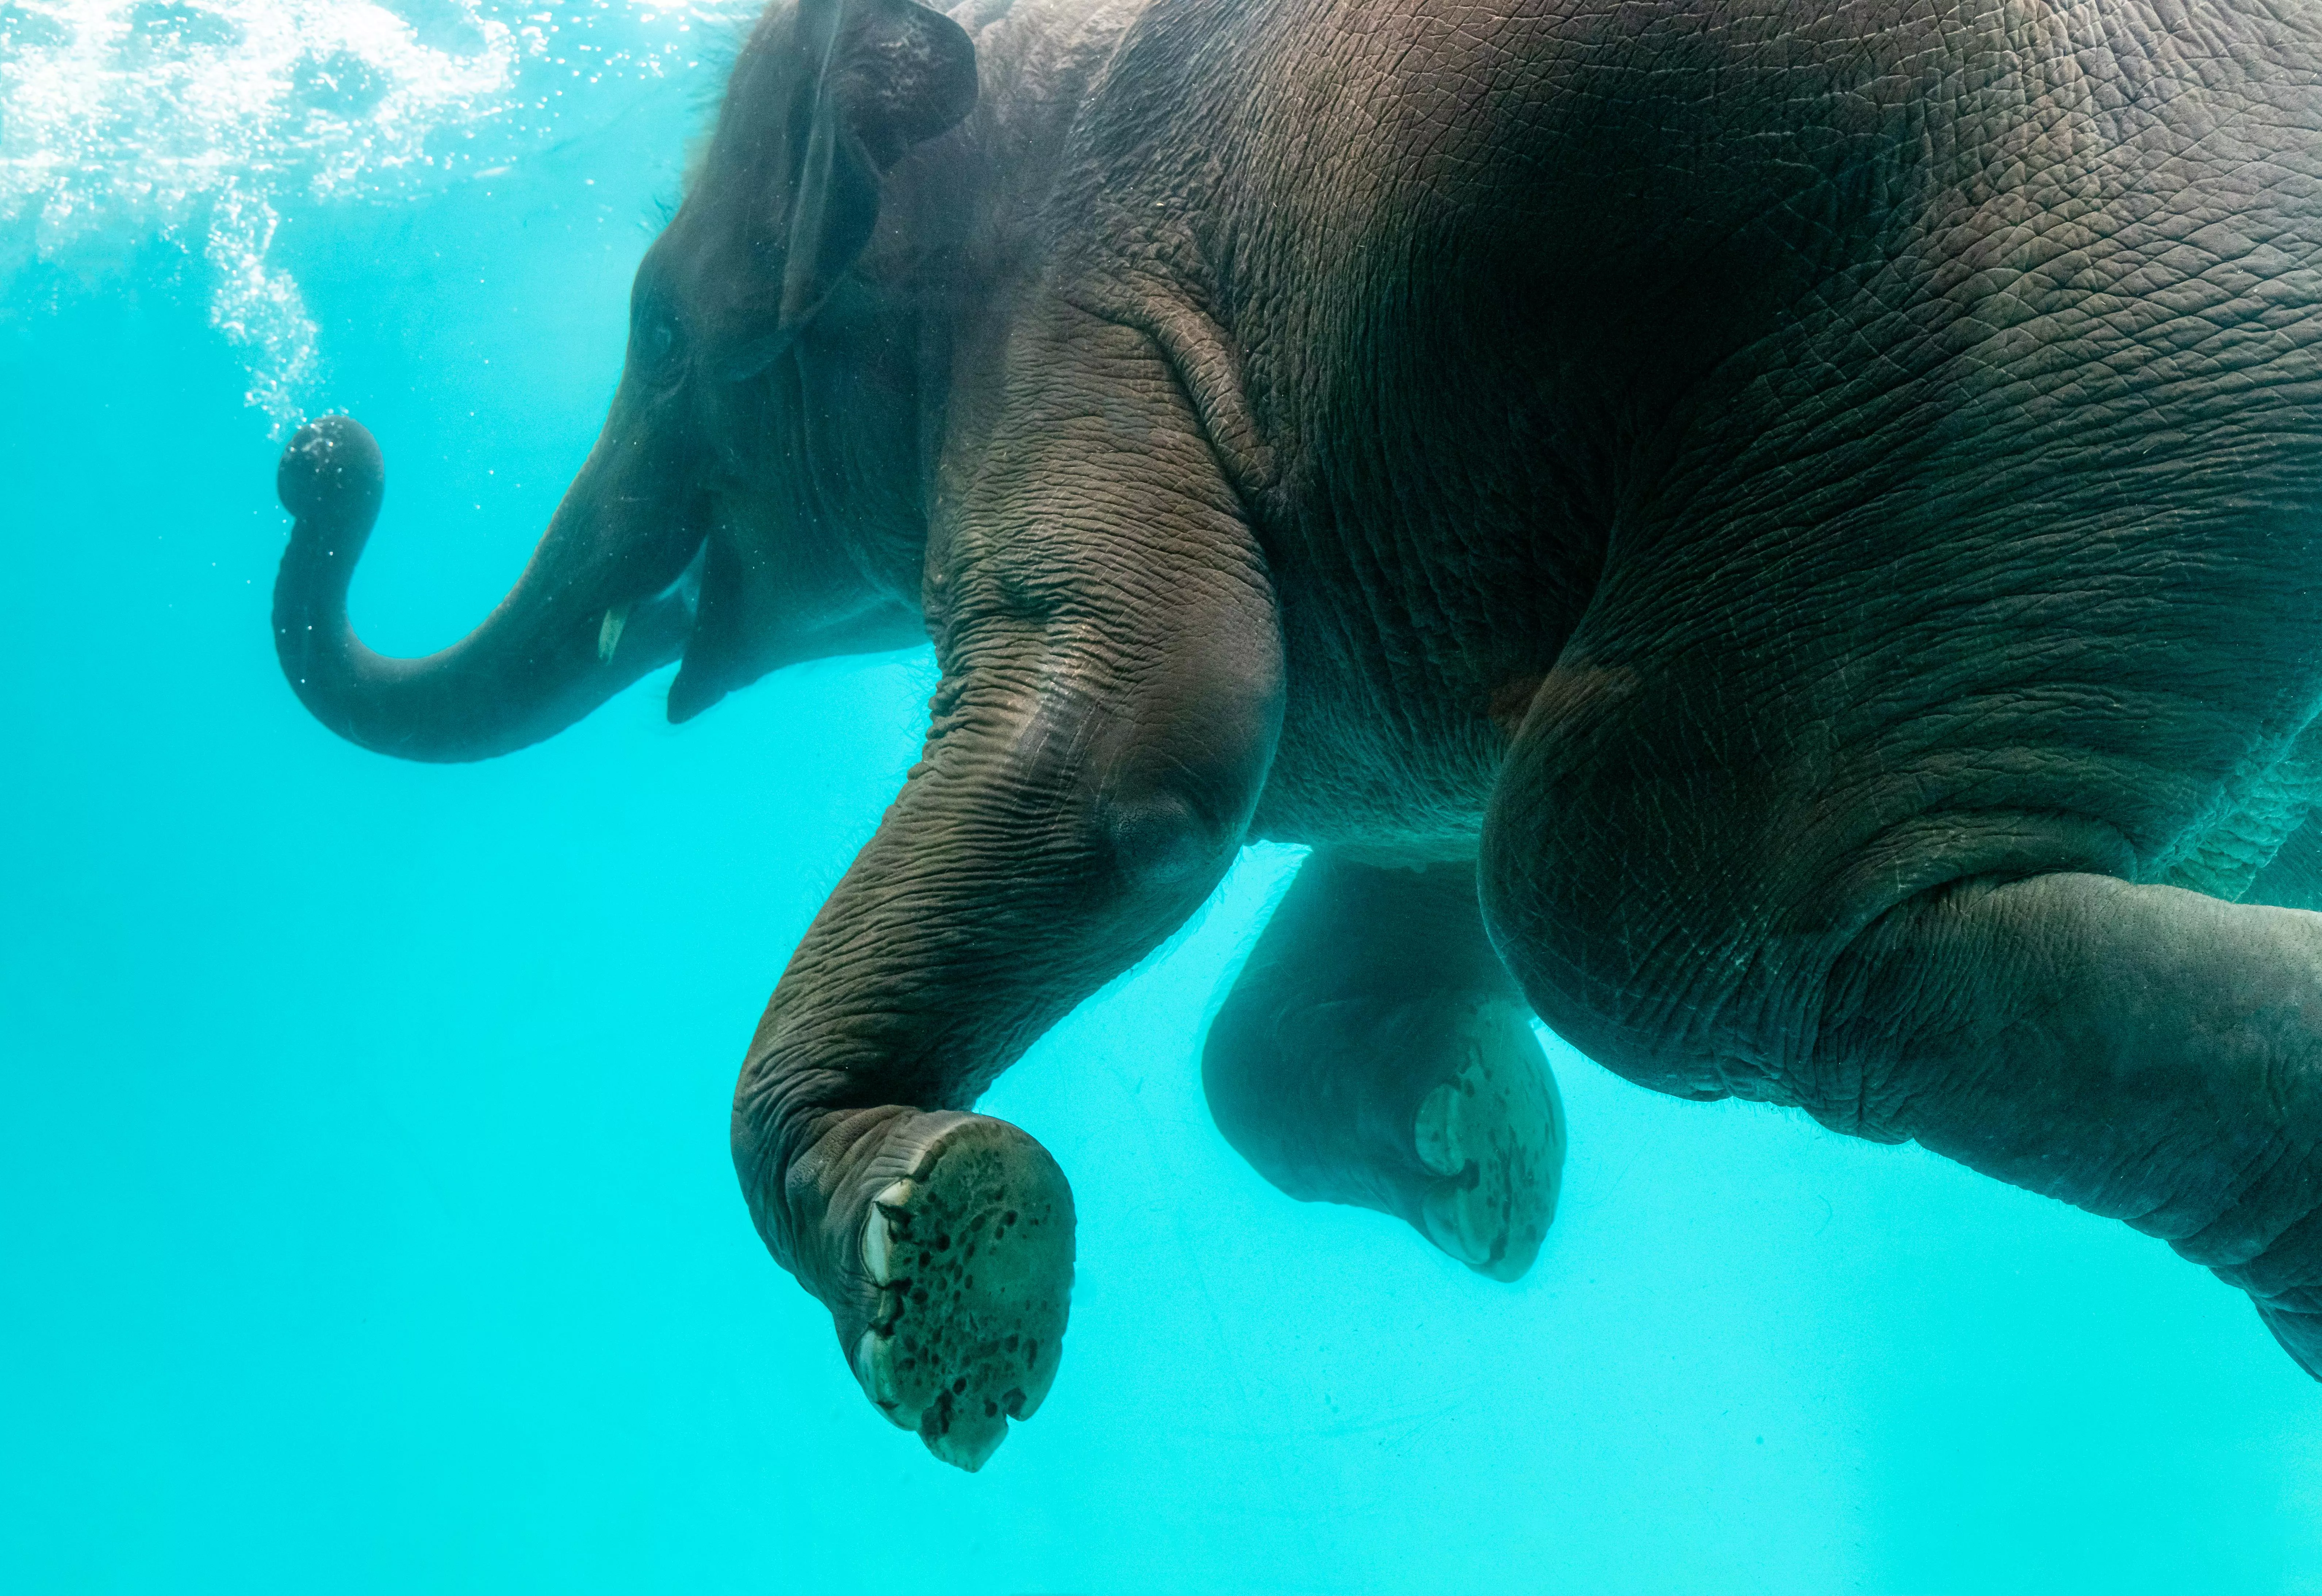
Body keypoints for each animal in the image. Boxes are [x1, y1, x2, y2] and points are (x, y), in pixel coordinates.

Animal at [272, 0, 2322, 1470]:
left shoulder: (1083, 333)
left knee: (1656, 895)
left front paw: (941, 1256)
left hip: (2056, 332)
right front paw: (1479, 1164)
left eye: (665, 337)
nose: (317, 451)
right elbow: (1357, 883)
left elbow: (1149, 749)